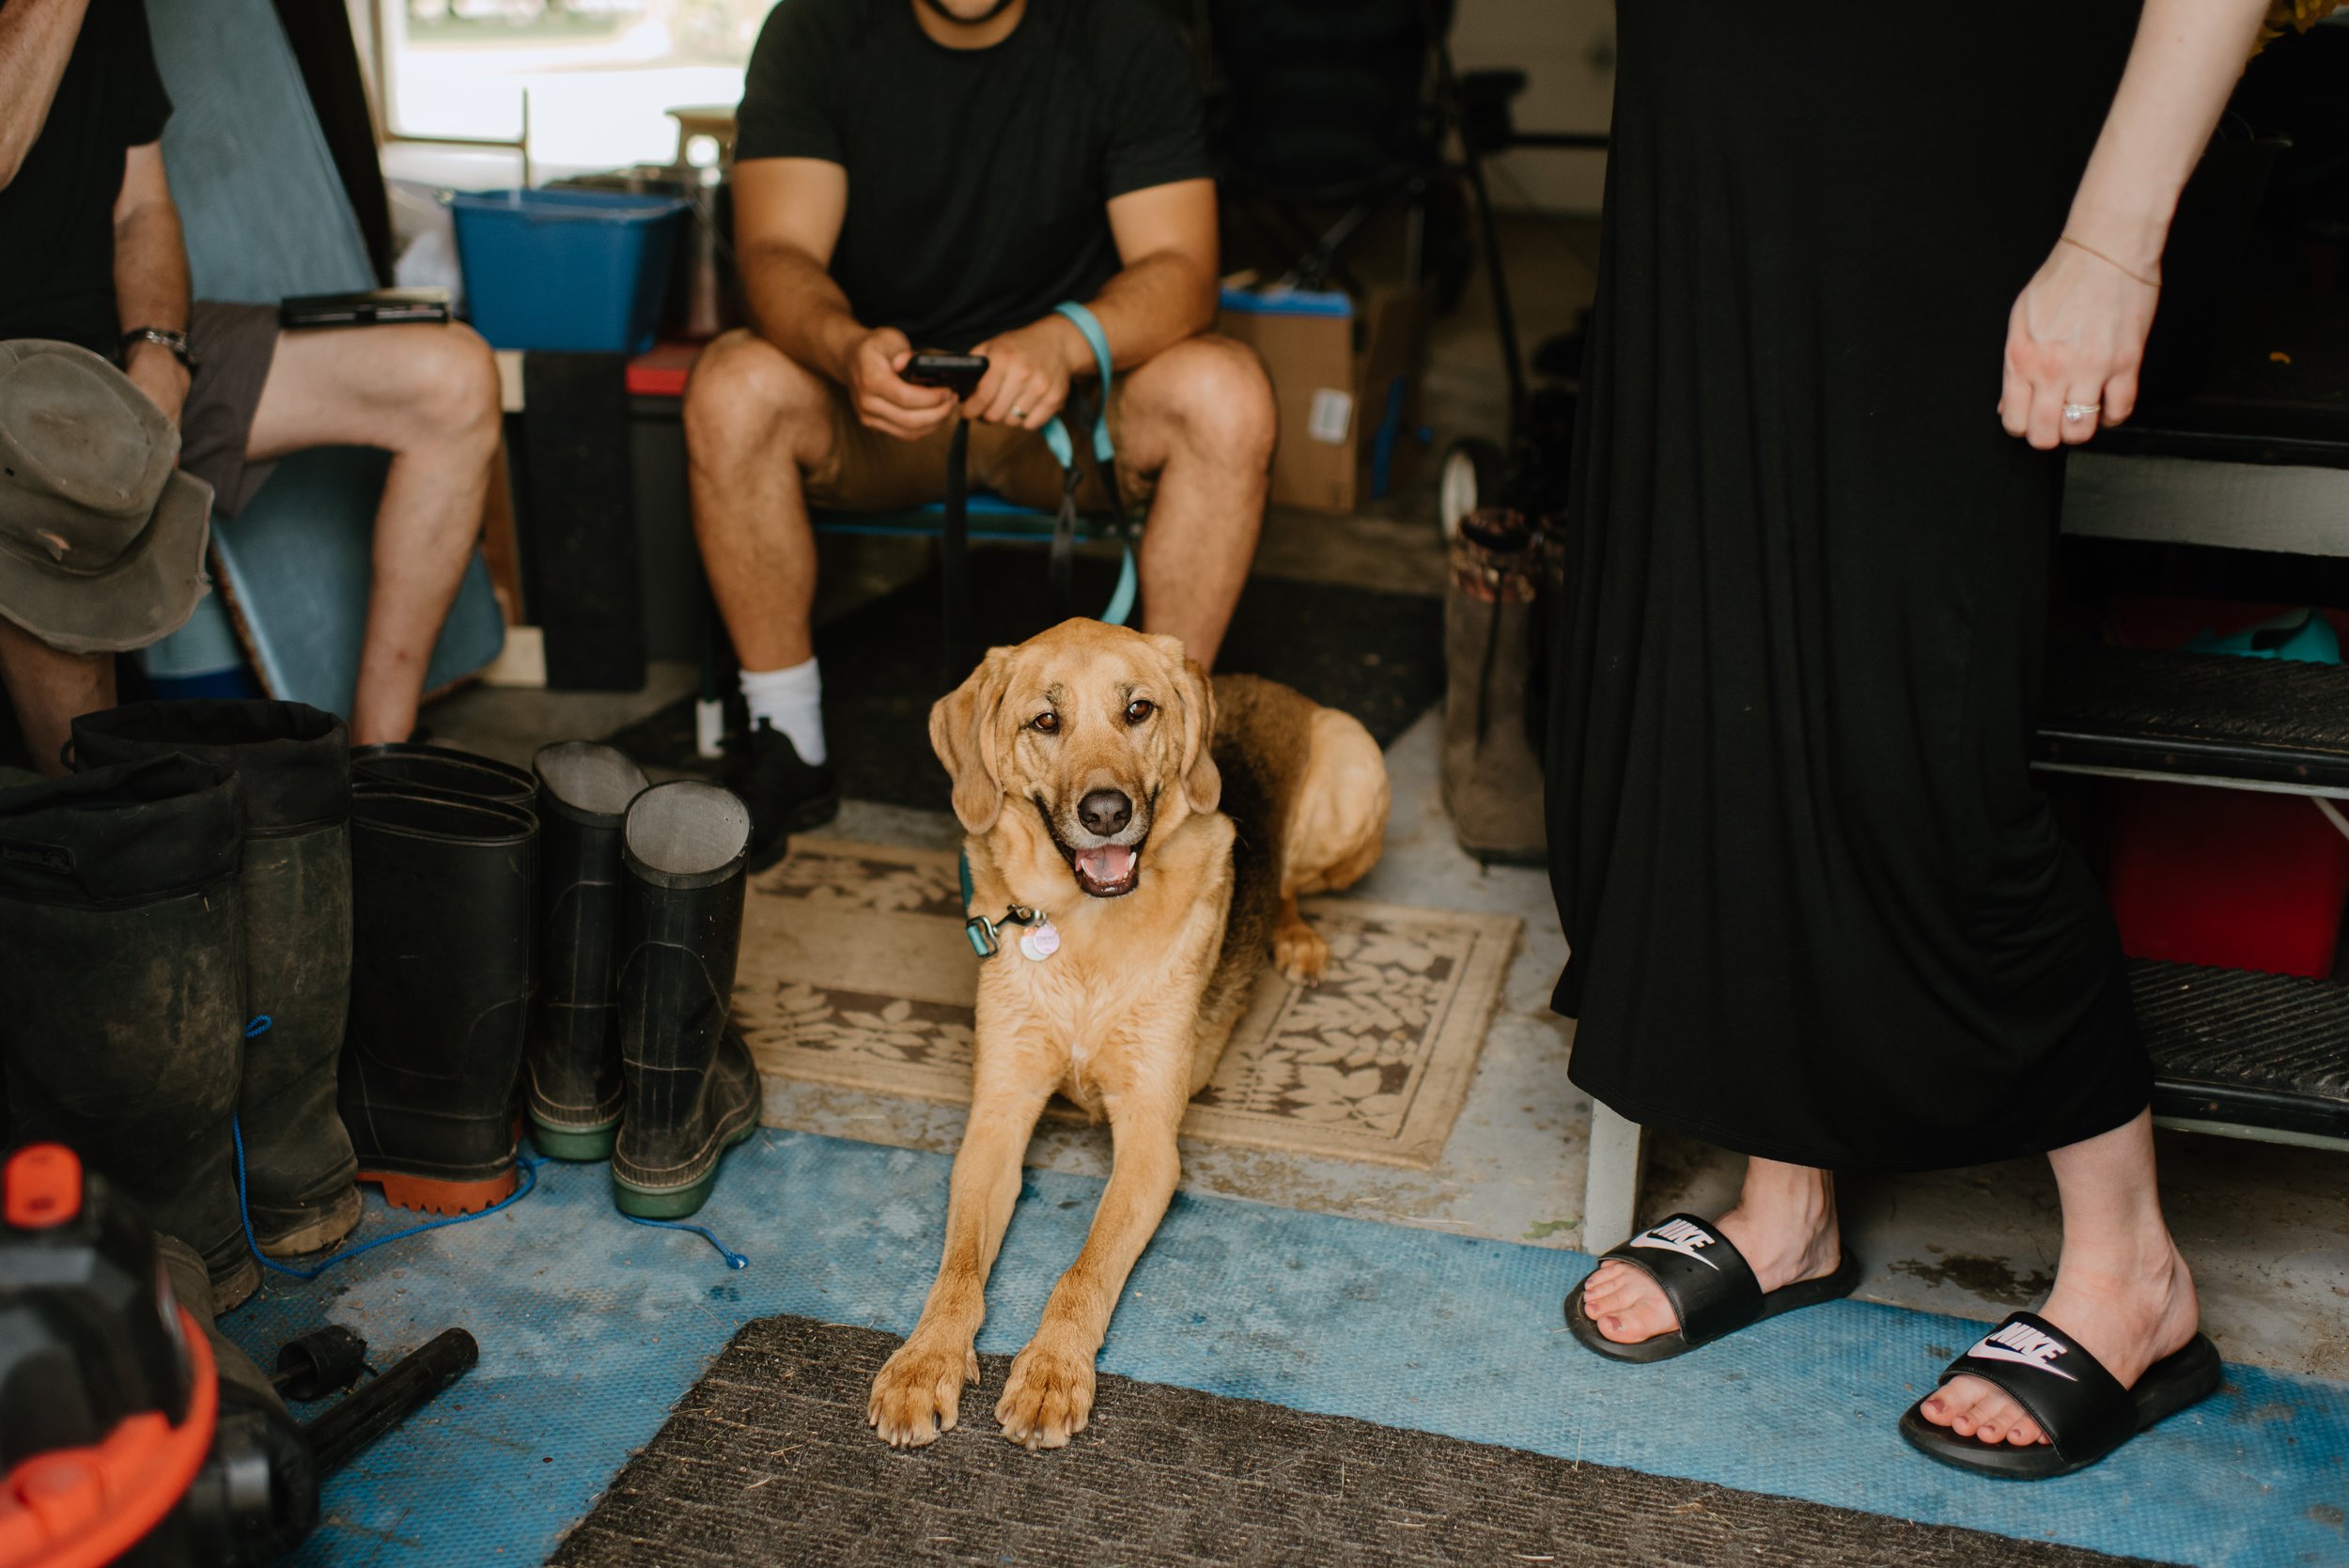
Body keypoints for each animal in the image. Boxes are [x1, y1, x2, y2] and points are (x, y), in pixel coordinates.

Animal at [869, 619, 1381, 1455]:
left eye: (1138, 710)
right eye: (1046, 721)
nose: (1106, 810)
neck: (1082, 932)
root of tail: (1263, 682)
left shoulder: (1148, 1139)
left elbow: (1084, 1270)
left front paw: (1052, 1370)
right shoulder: (997, 1118)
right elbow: (958, 1268)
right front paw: (925, 1360)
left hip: (1356, 769)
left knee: (1292, 882)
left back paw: (1295, 935)